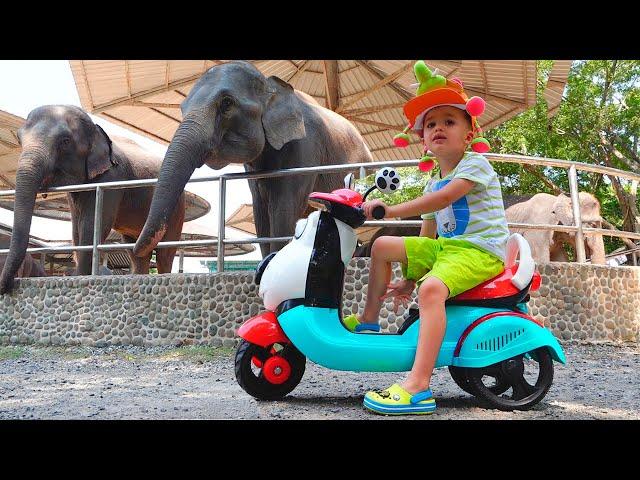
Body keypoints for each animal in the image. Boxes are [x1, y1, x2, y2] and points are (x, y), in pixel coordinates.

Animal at [0, 104, 185, 292]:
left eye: (65, 141)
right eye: (19, 139)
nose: (5, 287)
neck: (97, 131)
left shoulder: (112, 177)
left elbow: (92, 225)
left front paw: (81, 278)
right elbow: (76, 229)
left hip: (178, 207)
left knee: (165, 252)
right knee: (135, 252)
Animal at [135, 62, 372, 262]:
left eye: (227, 103)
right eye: (182, 108)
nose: (136, 250)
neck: (271, 86)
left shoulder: (305, 147)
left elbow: (284, 207)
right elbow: (261, 211)